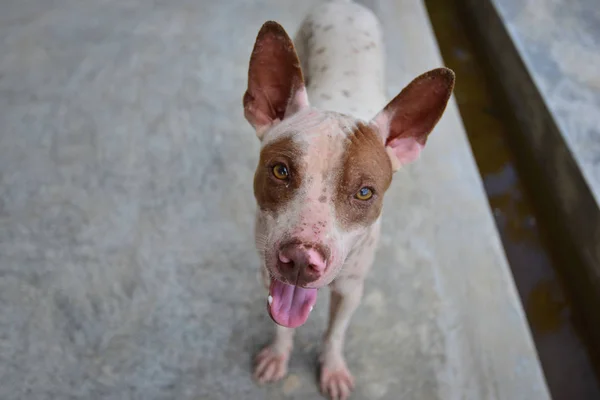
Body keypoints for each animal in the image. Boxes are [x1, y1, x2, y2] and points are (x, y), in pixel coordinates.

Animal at [241, 1, 452, 398]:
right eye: (280, 171)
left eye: (364, 192)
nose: (300, 260)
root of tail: (347, 5)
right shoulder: (265, 274)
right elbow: (281, 323)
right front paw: (278, 354)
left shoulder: (352, 289)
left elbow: (335, 333)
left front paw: (333, 368)